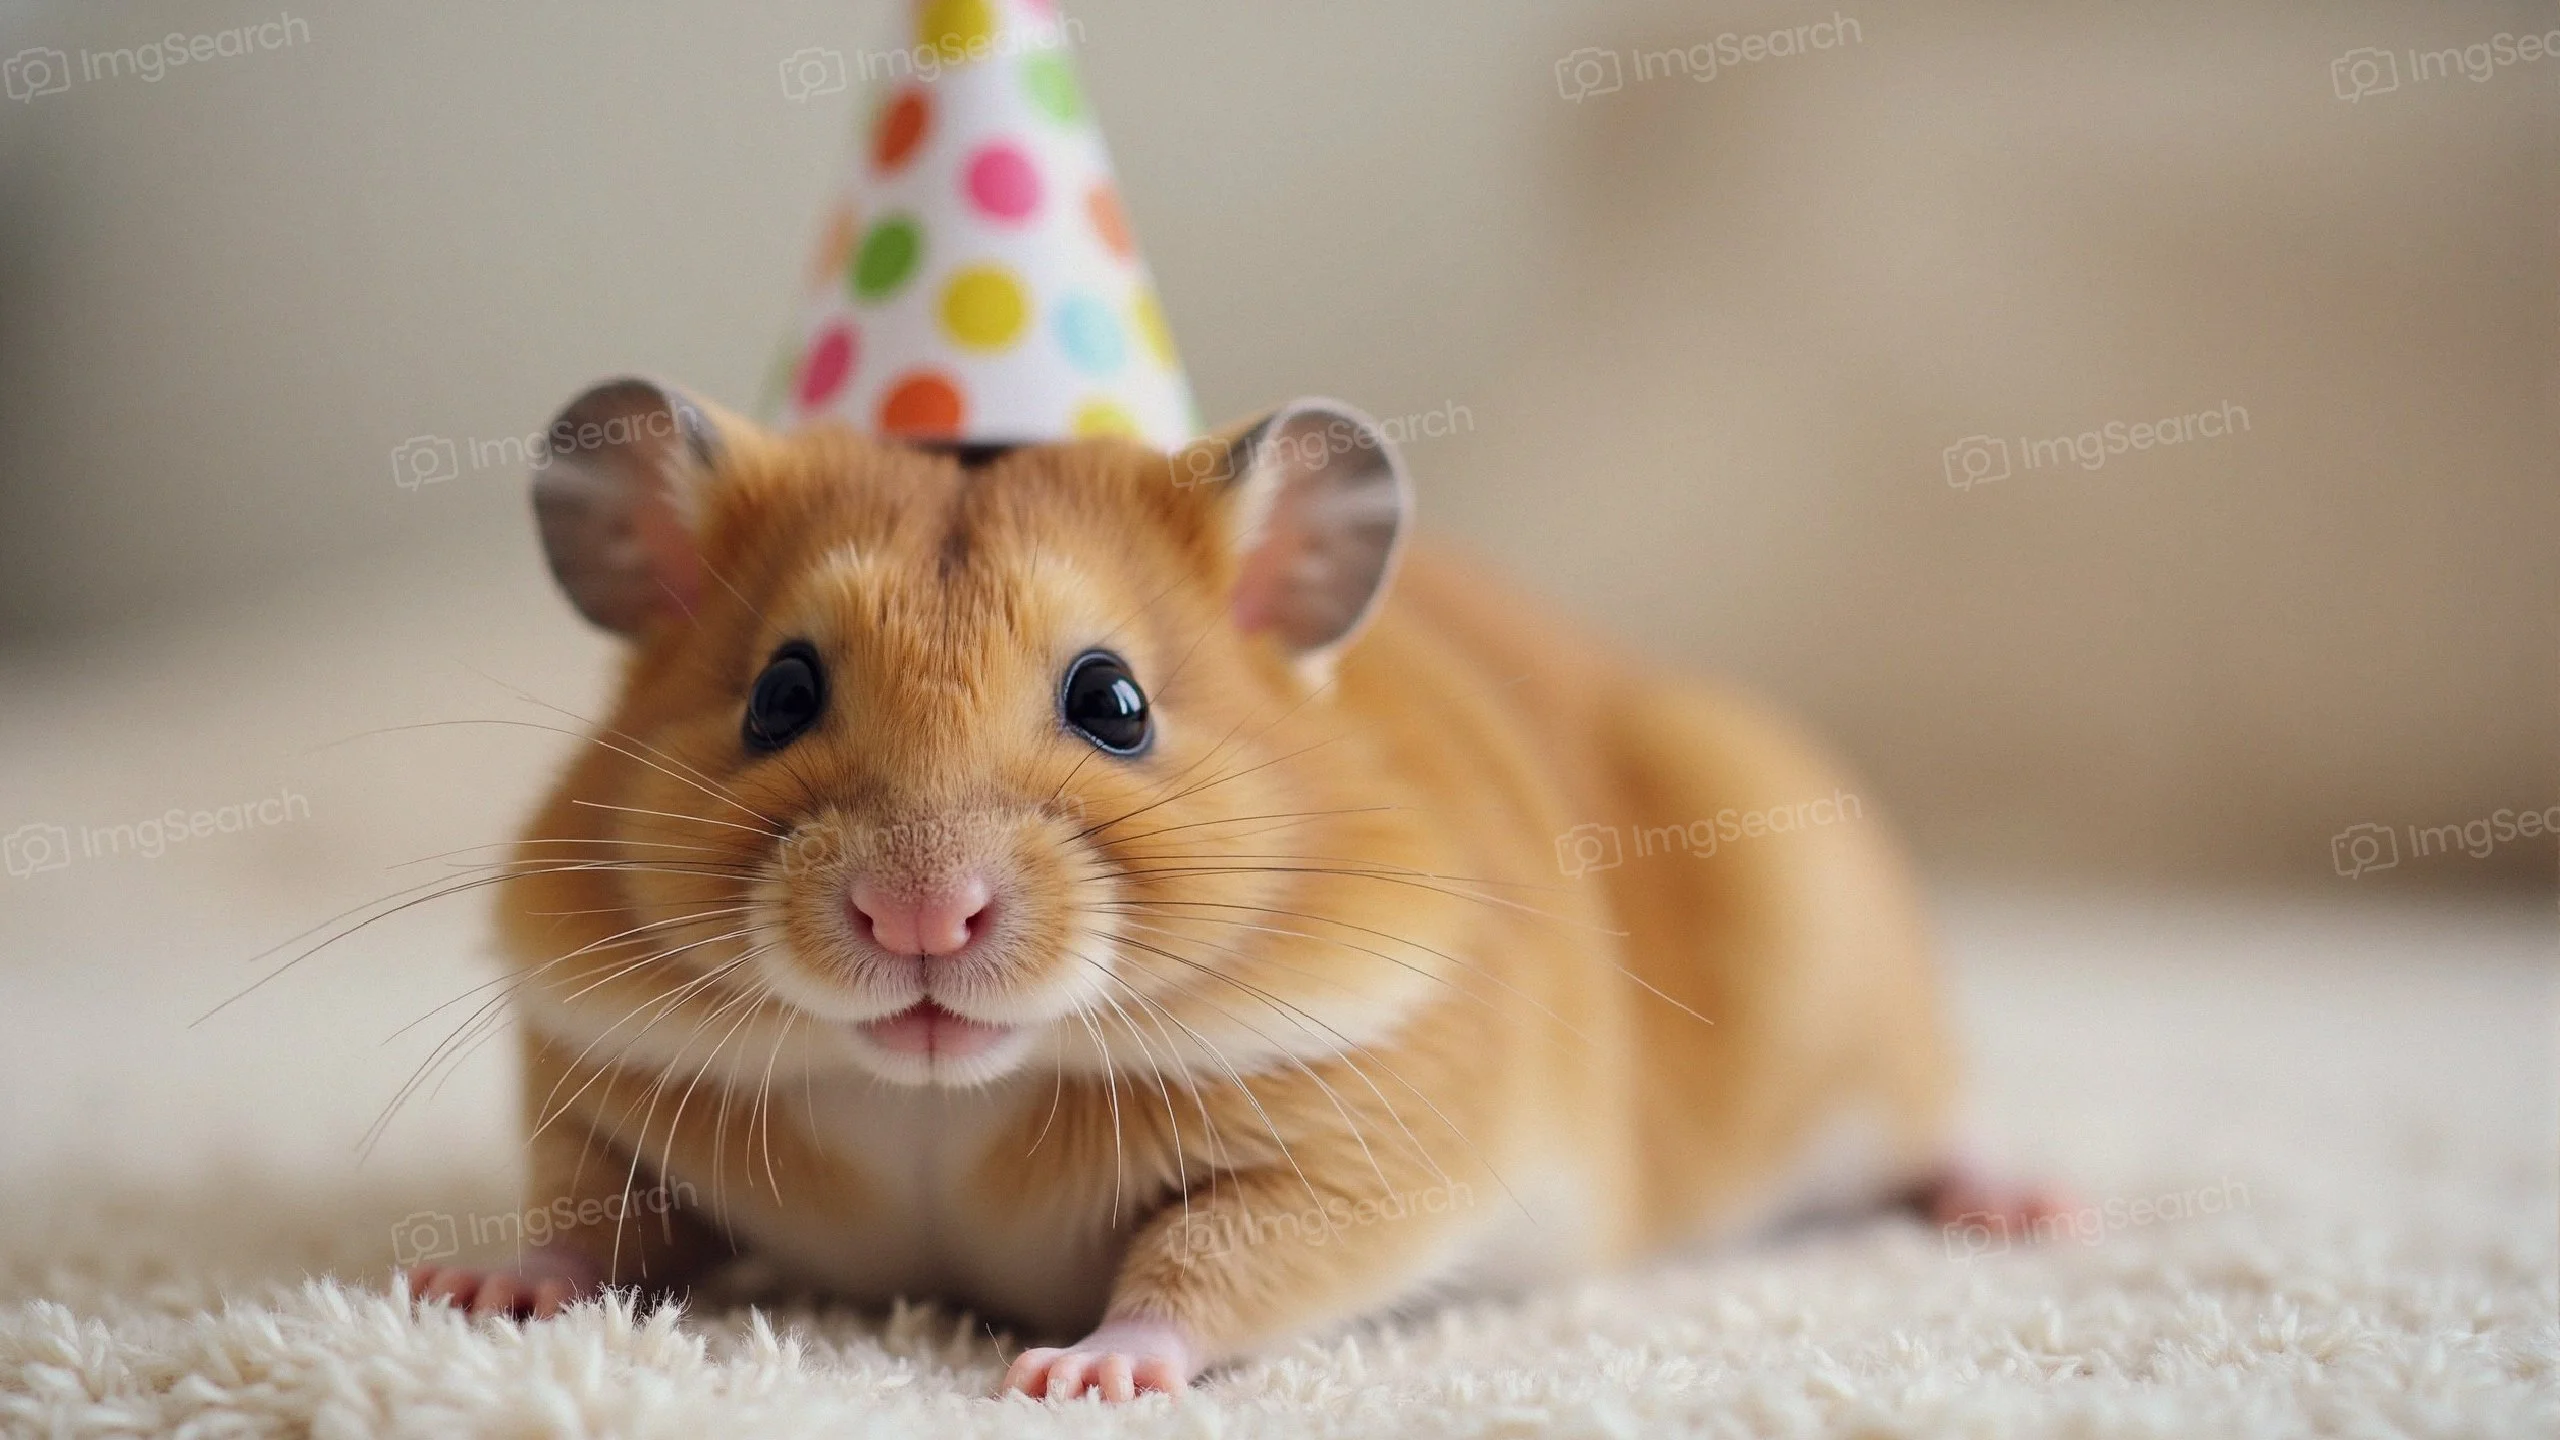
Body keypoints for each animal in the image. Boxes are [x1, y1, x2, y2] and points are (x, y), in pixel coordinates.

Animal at [401, 378, 2050, 1400]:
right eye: (779, 696)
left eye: (1114, 702)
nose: (919, 918)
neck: (941, 1096)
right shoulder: (595, 1090)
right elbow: (592, 1220)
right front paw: (465, 1293)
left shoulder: (1367, 1157)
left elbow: (1205, 1265)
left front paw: (1063, 1376)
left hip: (1842, 975)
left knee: (1936, 1116)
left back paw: (2025, 1211)